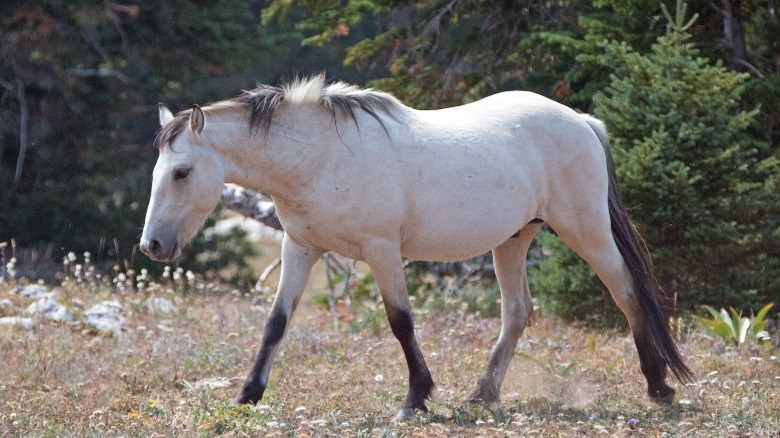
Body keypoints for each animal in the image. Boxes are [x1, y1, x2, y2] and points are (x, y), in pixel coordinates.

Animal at [140, 76, 688, 420]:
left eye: (181, 172)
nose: (153, 245)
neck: (320, 157)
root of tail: (581, 120)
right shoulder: (301, 247)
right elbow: (276, 323)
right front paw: (248, 395)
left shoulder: (382, 251)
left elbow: (400, 321)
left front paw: (416, 399)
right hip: (514, 240)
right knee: (517, 312)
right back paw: (482, 394)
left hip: (585, 229)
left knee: (626, 293)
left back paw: (659, 387)